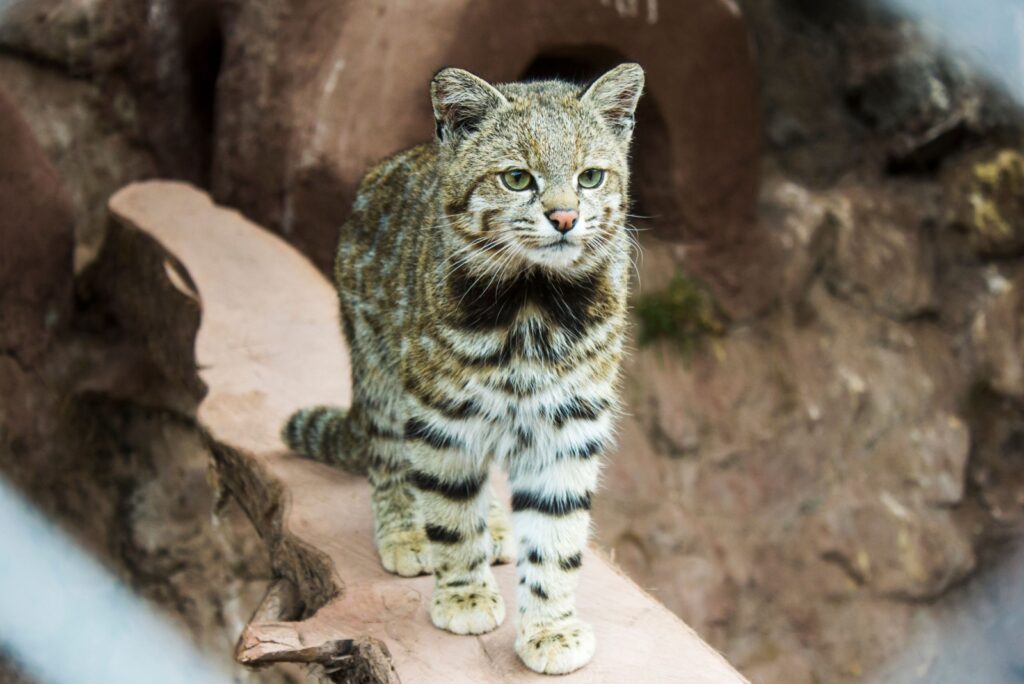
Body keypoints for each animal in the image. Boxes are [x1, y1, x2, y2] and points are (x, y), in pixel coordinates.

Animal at [284, 62, 643, 671]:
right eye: (517, 179)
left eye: (591, 177)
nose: (565, 217)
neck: (533, 304)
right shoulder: (441, 416)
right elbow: (451, 514)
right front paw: (466, 595)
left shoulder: (569, 424)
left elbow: (558, 535)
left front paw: (551, 626)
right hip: (380, 371)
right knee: (388, 458)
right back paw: (405, 530)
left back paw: (495, 523)